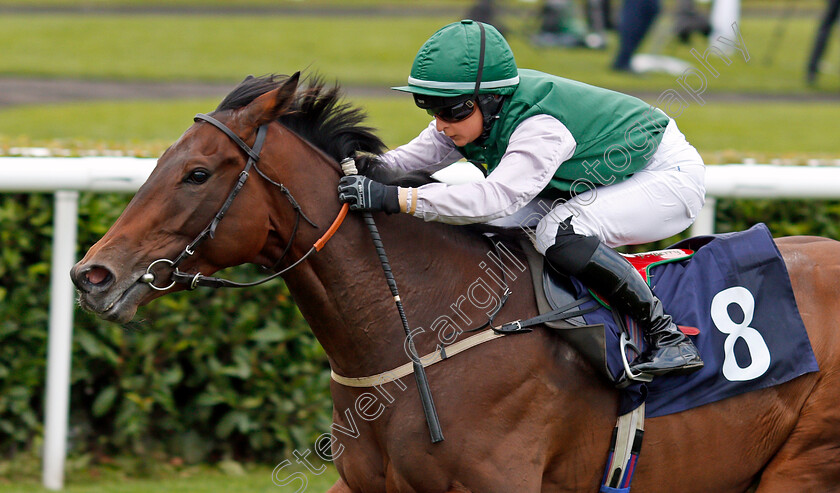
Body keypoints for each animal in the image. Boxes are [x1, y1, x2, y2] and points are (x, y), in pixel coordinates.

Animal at [70, 74, 840, 492]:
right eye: (163, 160)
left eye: (197, 173)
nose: (91, 274)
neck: (429, 330)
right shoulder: (367, 482)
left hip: (804, 464)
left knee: (569, 231)